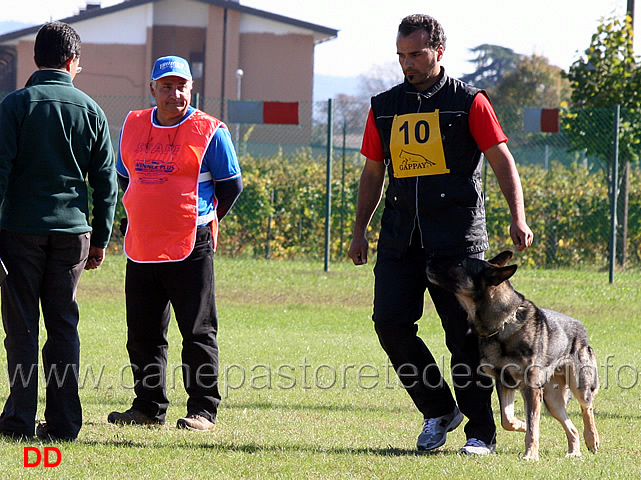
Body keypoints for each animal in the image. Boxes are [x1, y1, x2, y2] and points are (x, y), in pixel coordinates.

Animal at [424, 251, 600, 462]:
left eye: (459, 263)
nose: (427, 260)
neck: (503, 324)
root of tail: (582, 330)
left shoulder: (531, 389)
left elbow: (533, 426)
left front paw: (530, 454)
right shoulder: (504, 383)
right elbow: (507, 420)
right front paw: (522, 424)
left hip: (578, 386)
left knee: (587, 408)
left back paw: (592, 439)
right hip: (551, 400)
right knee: (571, 428)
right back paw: (574, 452)